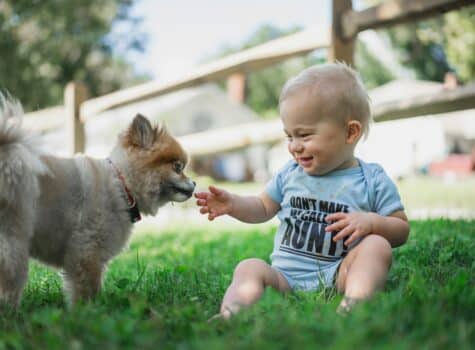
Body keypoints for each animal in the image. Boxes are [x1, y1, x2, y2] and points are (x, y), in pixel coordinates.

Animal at [0, 93, 195, 306]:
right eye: (178, 167)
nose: (195, 183)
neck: (122, 185)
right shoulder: (87, 251)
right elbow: (88, 288)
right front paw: (90, 310)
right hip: (14, 244)